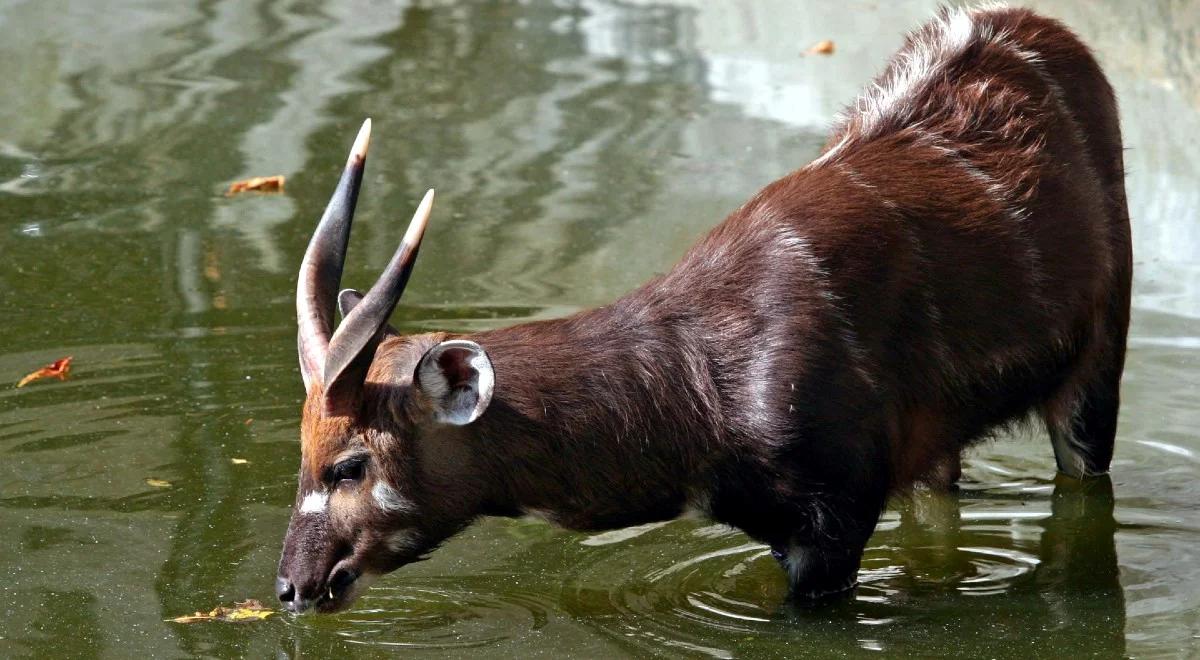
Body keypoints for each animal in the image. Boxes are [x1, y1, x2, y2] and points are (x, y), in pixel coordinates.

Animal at [276, 6, 1128, 614]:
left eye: (350, 464)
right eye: (303, 454)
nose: (292, 586)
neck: (703, 397)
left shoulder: (834, 524)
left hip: (1093, 379)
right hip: (939, 450)